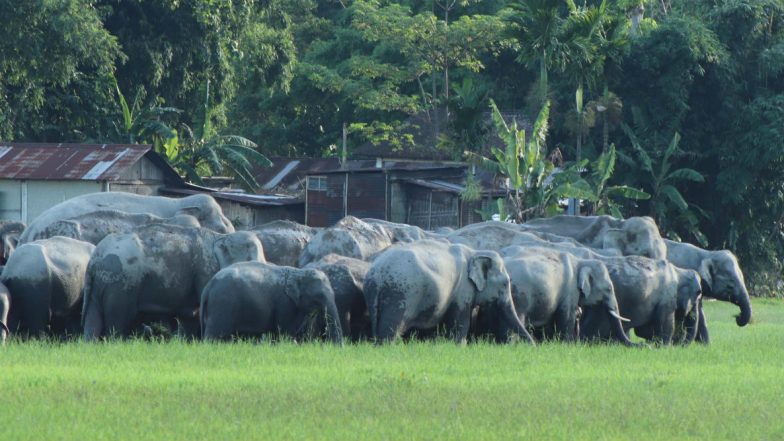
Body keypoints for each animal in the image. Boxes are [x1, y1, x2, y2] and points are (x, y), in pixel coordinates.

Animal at [82, 224, 264, 340]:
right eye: (251, 259)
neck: (220, 237)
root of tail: (94, 260)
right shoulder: (205, 269)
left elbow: (189, 315)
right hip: (121, 285)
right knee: (118, 321)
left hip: (99, 286)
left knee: (92, 320)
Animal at [200, 262, 343, 344]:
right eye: (319, 297)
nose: (336, 348)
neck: (298, 272)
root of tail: (208, 286)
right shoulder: (285, 303)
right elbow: (286, 330)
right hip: (222, 304)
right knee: (214, 334)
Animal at [363, 239, 535, 344]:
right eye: (506, 283)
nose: (534, 346)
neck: (475, 251)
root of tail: (376, 274)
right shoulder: (463, 290)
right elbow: (461, 321)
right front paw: (460, 346)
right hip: (399, 295)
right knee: (391, 329)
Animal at [486, 246, 633, 345]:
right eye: (608, 288)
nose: (640, 345)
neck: (581, 261)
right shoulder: (570, 290)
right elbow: (566, 315)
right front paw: (566, 344)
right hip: (520, 296)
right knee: (517, 318)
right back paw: (515, 344)